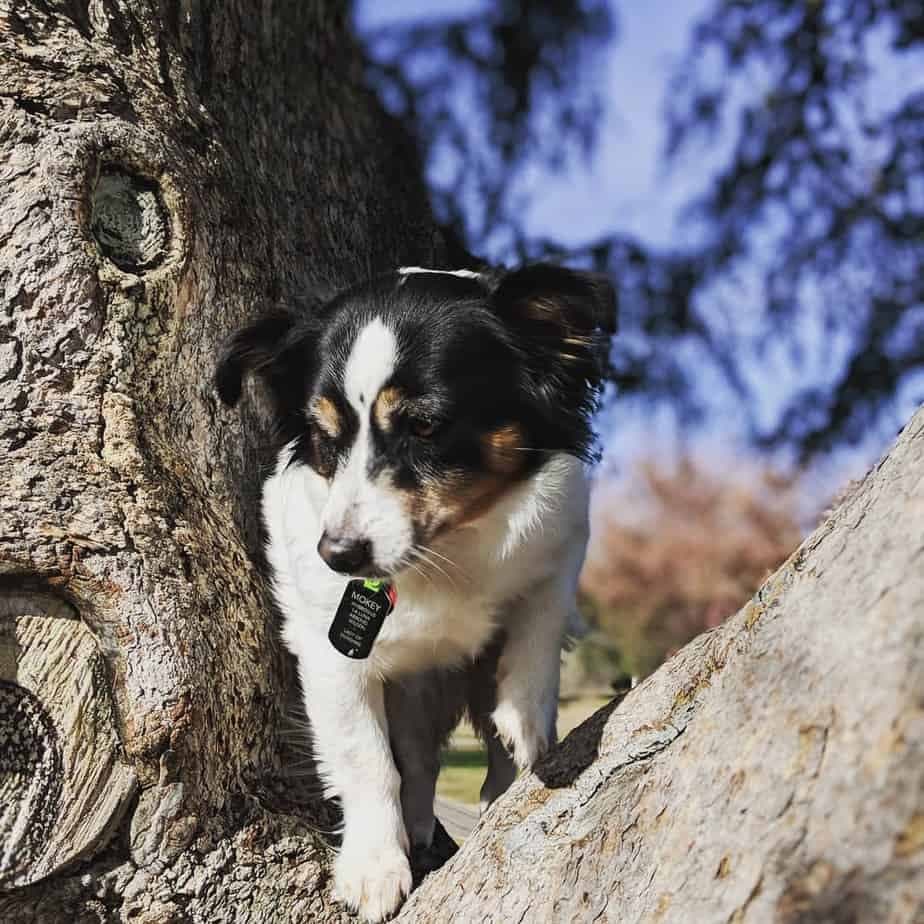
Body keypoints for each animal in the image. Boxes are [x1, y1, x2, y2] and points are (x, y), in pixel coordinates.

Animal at [215, 264, 612, 920]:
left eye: (425, 425)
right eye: (323, 435)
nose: (338, 556)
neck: (444, 546)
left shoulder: (564, 536)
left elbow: (538, 622)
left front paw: (525, 717)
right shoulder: (330, 654)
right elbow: (368, 760)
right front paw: (374, 867)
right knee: (419, 761)